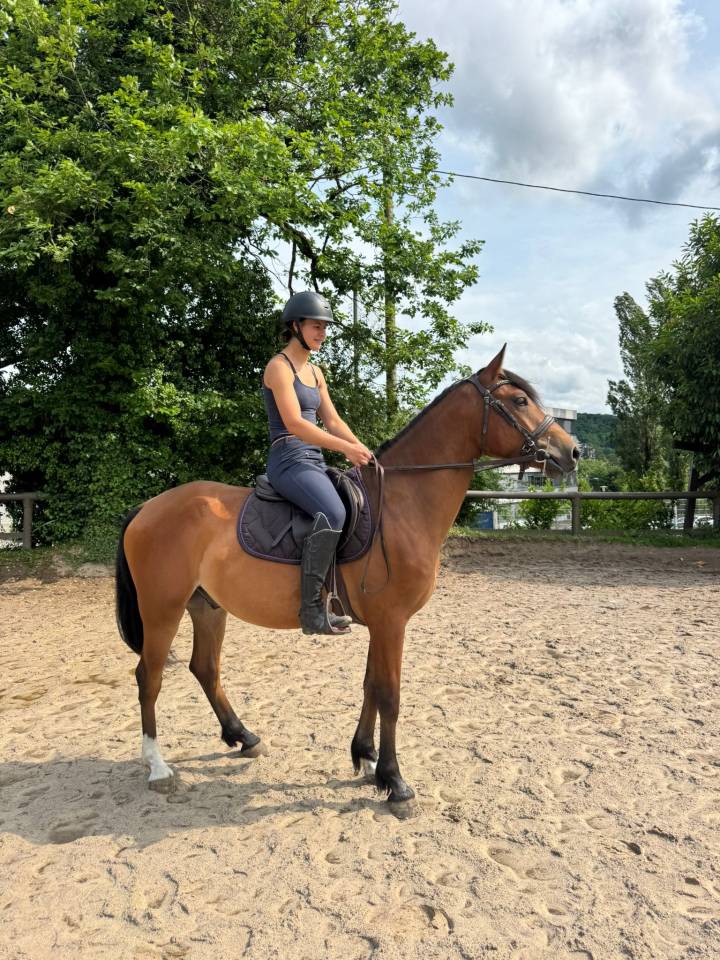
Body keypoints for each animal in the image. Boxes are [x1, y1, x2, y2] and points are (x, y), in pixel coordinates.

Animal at [115, 346, 579, 812]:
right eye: (519, 401)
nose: (572, 451)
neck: (401, 505)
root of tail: (147, 508)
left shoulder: (381, 623)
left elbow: (370, 685)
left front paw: (367, 758)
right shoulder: (392, 621)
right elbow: (389, 695)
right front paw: (395, 782)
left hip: (208, 607)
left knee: (205, 668)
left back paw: (243, 737)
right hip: (162, 609)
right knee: (149, 676)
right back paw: (158, 767)